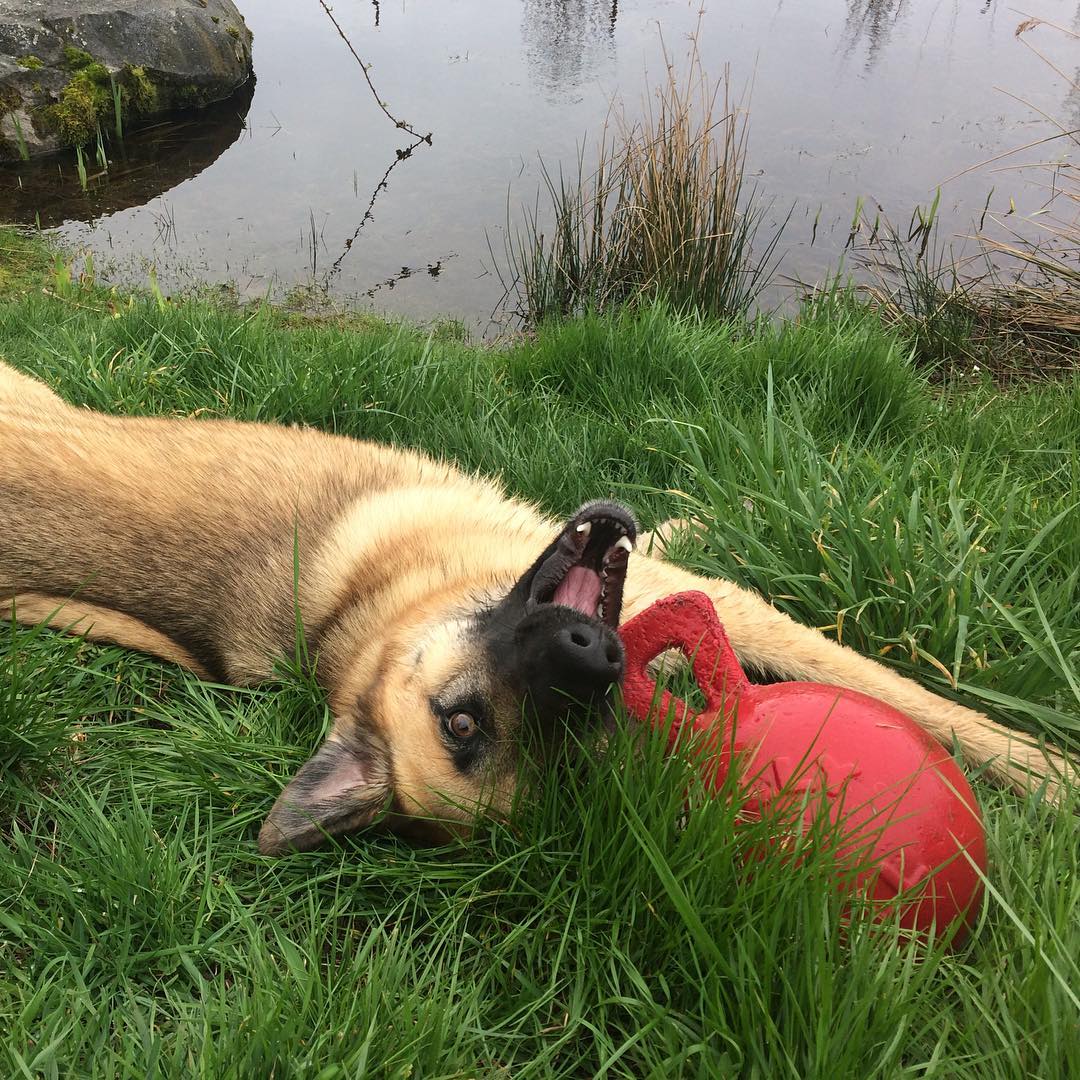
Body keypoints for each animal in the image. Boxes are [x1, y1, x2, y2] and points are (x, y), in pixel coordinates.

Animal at [0, 360, 1062, 851]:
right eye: (471, 726)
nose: (595, 659)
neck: (371, 612)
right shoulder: (723, 603)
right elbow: (933, 711)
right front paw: (1058, 779)